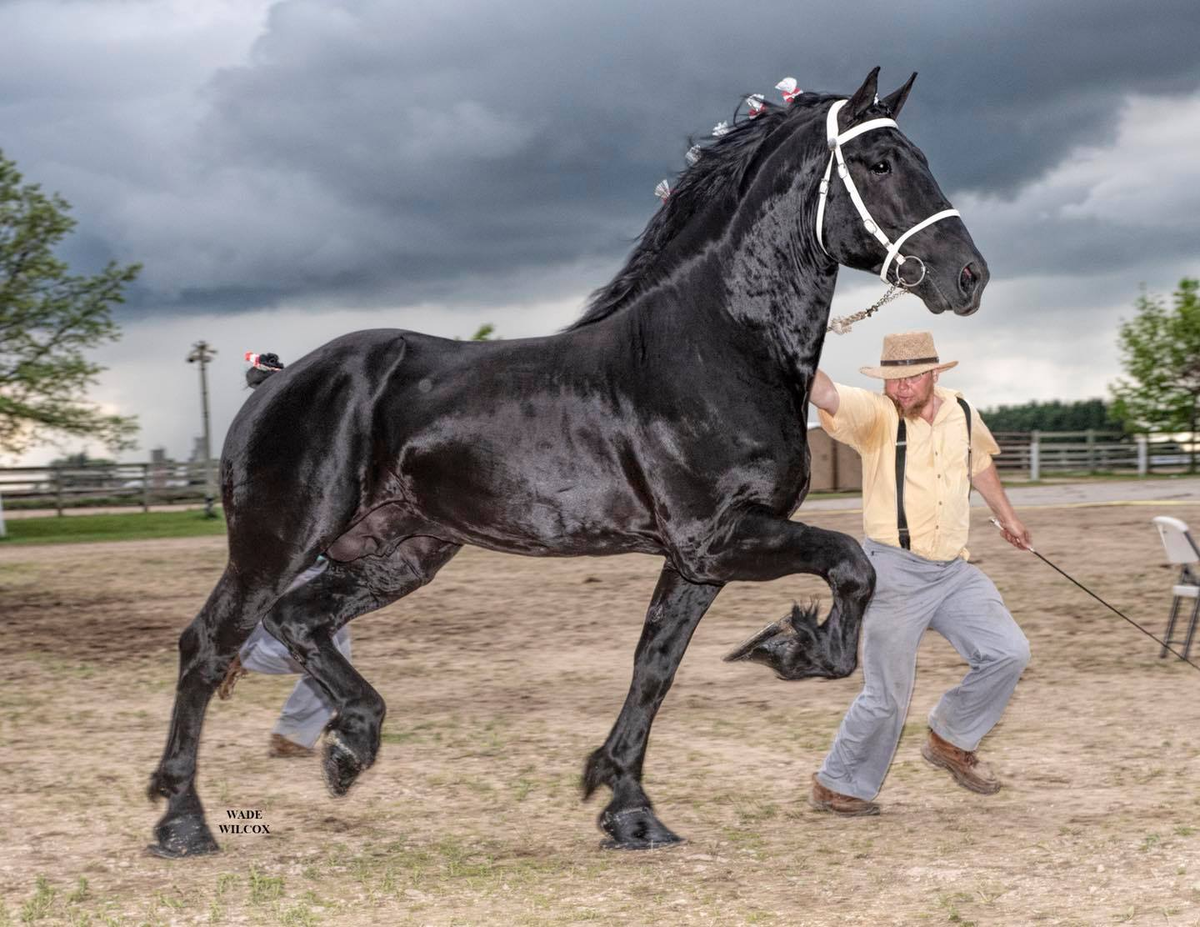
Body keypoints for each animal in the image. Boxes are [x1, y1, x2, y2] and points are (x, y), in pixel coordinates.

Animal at [150, 68, 988, 859]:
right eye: (880, 162)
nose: (970, 277)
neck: (715, 345)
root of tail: (277, 378)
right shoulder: (716, 537)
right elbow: (852, 566)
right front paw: (788, 646)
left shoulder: (696, 561)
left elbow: (654, 667)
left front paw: (630, 809)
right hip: (278, 540)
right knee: (210, 642)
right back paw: (183, 818)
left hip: (398, 551)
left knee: (297, 621)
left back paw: (349, 742)